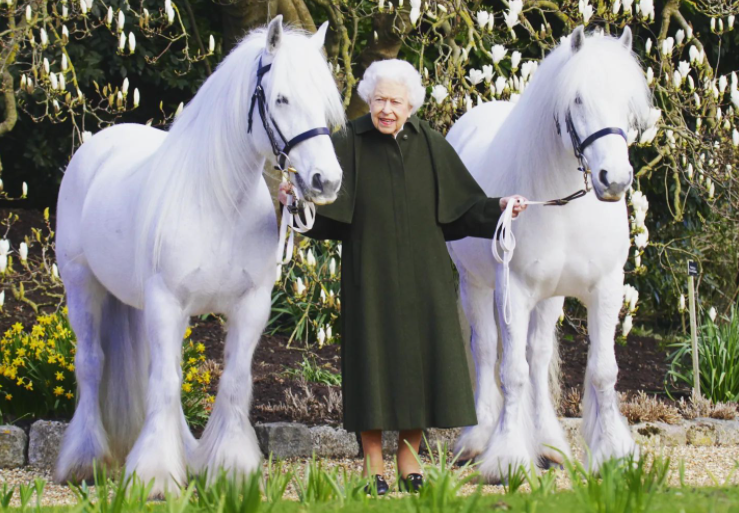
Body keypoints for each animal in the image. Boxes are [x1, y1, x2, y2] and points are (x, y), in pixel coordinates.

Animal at [54, 17, 344, 496]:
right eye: (281, 98)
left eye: (324, 102)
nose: (327, 181)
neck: (219, 202)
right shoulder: (167, 303)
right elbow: (165, 384)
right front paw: (154, 476)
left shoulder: (250, 307)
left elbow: (233, 382)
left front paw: (230, 470)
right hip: (82, 285)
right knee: (92, 364)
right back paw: (85, 461)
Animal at [448, 26, 652, 482]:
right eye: (576, 99)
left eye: (628, 102)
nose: (615, 179)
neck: (565, 206)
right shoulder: (514, 291)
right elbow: (511, 372)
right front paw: (506, 458)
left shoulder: (606, 288)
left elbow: (601, 371)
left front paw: (613, 454)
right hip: (476, 285)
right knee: (486, 349)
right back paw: (478, 439)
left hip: (550, 297)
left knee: (538, 356)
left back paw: (548, 444)